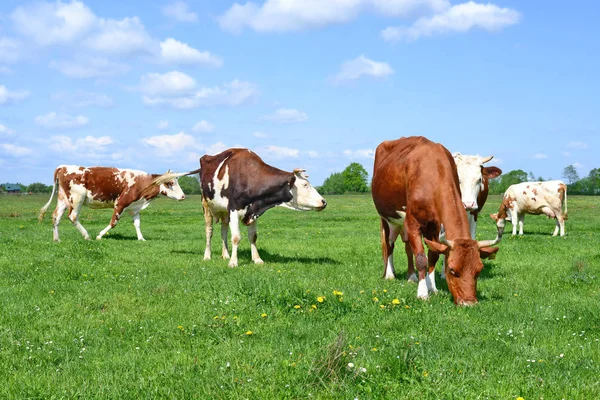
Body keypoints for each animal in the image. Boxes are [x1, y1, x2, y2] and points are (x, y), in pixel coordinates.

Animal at [38, 165, 189, 242]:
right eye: (170, 183)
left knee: (56, 216)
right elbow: (113, 223)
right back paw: (87, 236)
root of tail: (64, 167)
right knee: (73, 216)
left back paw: (56, 239)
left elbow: (137, 223)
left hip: (63, 199)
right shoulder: (120, 204)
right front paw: (99, 235)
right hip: (77, 199)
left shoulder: (134, 207)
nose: (183, 196)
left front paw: (141, 238)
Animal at [197, 148, 328, 268]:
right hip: (206, 205)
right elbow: (236, 237)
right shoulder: (234, 209)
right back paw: (207, 256)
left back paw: (225, 255)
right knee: (209, 231)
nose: (324, 201)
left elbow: (253, 236)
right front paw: (233, 262)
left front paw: (257, 259)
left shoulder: (253, 211)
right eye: (305, 185)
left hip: (224, 211)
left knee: (223, 229)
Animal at [370, 136, 502, 304]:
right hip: (386, 218)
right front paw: (422, 292)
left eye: (479, 270)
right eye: (452, 269)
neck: (432, 175)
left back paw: (411, 276)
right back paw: (389, 274)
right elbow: (421, 258)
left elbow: (433, 255)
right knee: (389, 244)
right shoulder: (412, 223)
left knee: (407, 247)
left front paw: (432, 287)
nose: (469, 302)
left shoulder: (434, 226)